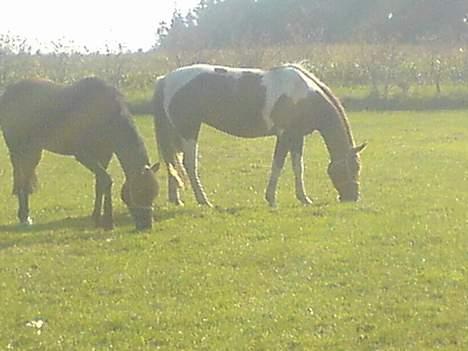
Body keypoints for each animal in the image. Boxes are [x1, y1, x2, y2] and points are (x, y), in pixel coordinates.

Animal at [0, 77, 160, 231]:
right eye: (139, 191)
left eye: (154, 192)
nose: (147, 225)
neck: (106, 115)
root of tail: (8, 92)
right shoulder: (84, 156)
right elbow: (106, 180)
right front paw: (108, 222)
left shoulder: (104, 155)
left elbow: (99, 183)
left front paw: (96, 218)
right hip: (17, 150)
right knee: (21, 179)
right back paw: (24, 218)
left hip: (34, 151)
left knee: (26, 178)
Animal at [154, 63, 366, 208]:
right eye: (353, 168)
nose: (352, 197)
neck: (305, 97)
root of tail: (165, 79)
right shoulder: (285, 136)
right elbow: (278, 165)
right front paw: (271, 198)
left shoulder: (297, 137)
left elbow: (298, 167)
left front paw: (304, 198)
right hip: (189, 130)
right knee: (189, 165)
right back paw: (204, 201)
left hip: (176, 133)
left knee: (172, 162)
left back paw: (176, 199)